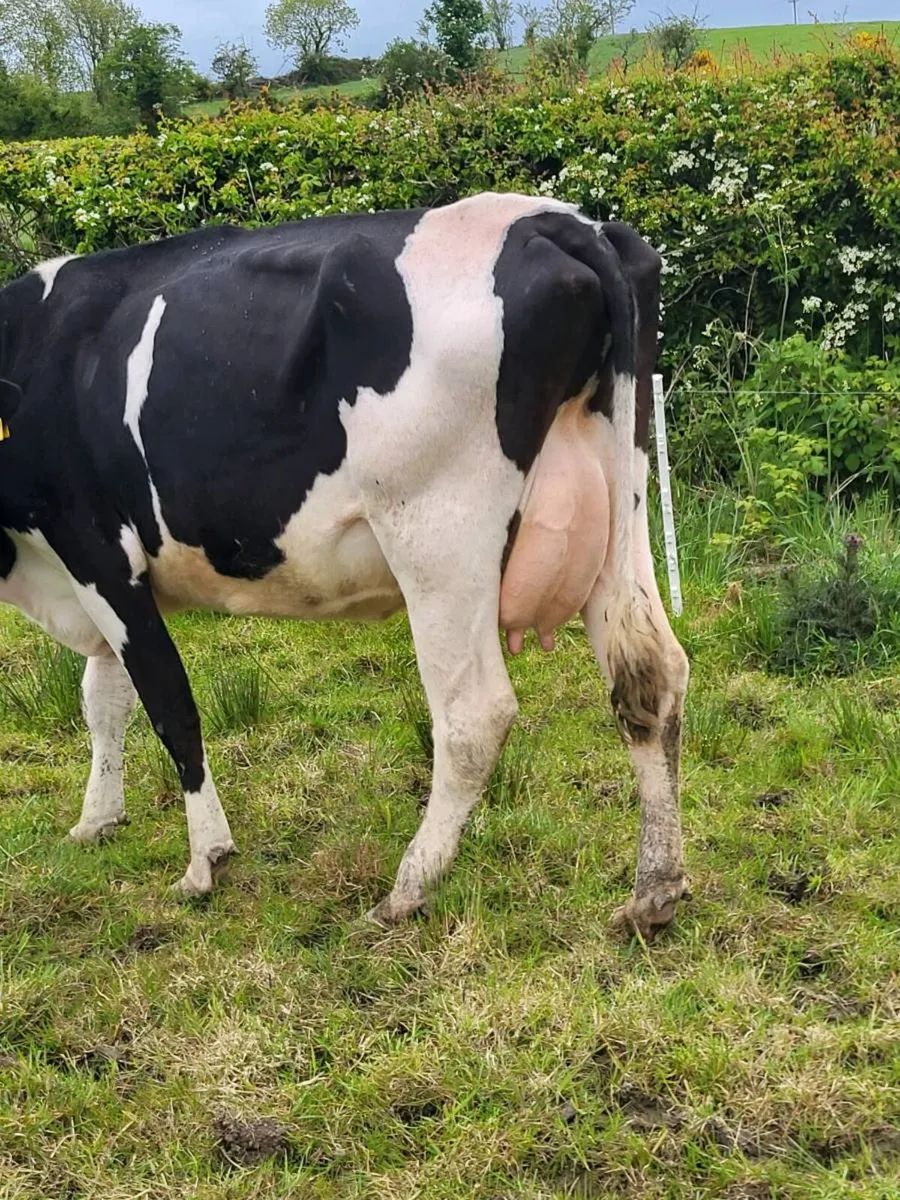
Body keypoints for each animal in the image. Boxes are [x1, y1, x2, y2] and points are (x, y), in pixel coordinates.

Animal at [0, 192, 690, 938]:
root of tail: (557, 220)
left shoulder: (96, 551)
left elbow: (167, 703)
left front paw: (205, 860)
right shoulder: (91, 576)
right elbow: (104, 699)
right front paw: (96, 820)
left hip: (438, 536)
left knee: (473, 714)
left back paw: (408, 887)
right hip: (622, 495)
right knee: (649, 675)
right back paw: (654, 892)